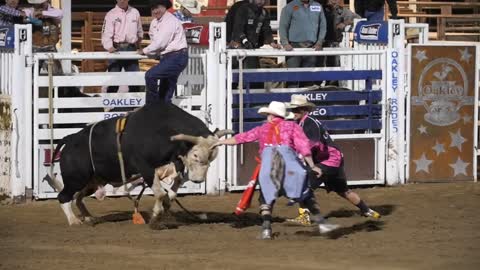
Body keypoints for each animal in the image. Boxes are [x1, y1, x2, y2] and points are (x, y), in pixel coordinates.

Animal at [49, 102, 233, 227]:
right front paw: (156, 217)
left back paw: (89, 217)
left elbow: (173, 189)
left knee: (79, 197)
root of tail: (69, 139)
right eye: (195, 155)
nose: (198, 180)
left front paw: (167, 205)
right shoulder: (145, 167)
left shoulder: (175, 163)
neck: (162, 130)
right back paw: (74, 221)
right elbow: (159, 192)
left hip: (93, 181)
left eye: (212, 157)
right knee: (64, 196)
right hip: (76, 178)